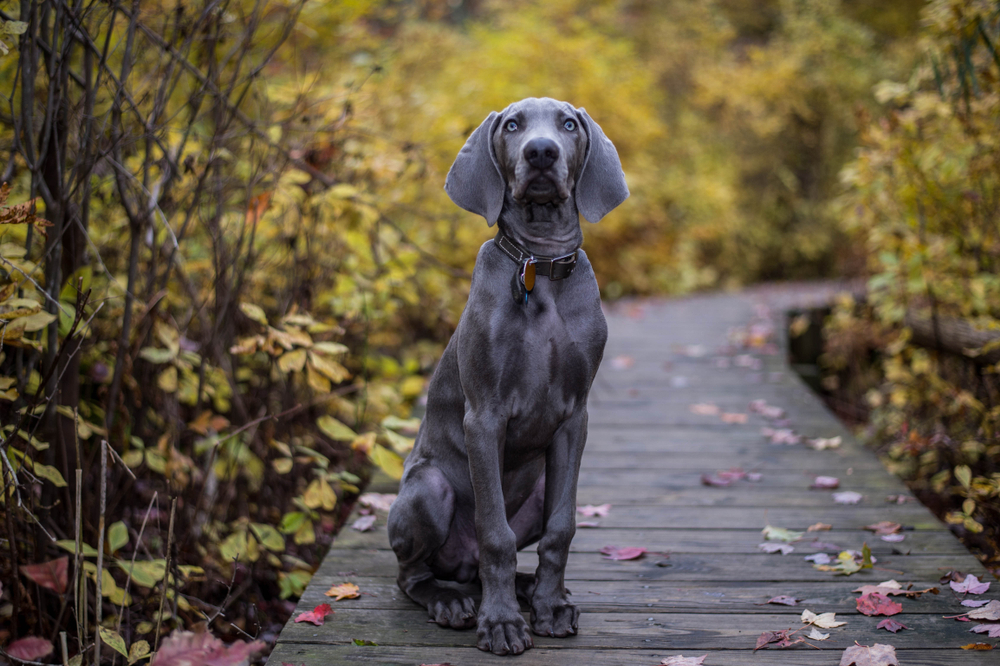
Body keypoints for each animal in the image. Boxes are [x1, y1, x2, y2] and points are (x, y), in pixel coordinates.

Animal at [386, 97, 628, 652]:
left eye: (568, 124)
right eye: (514, 124)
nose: (541, 153)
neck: (540, 261)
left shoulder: (574, 419)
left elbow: (562, 529)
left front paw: (549, 606)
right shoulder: (484, 417)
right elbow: (495, 534)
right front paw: (499, 623)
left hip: (537, 488)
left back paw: (525, 588)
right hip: (428, 489)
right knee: (416, 573)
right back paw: (451, 600)